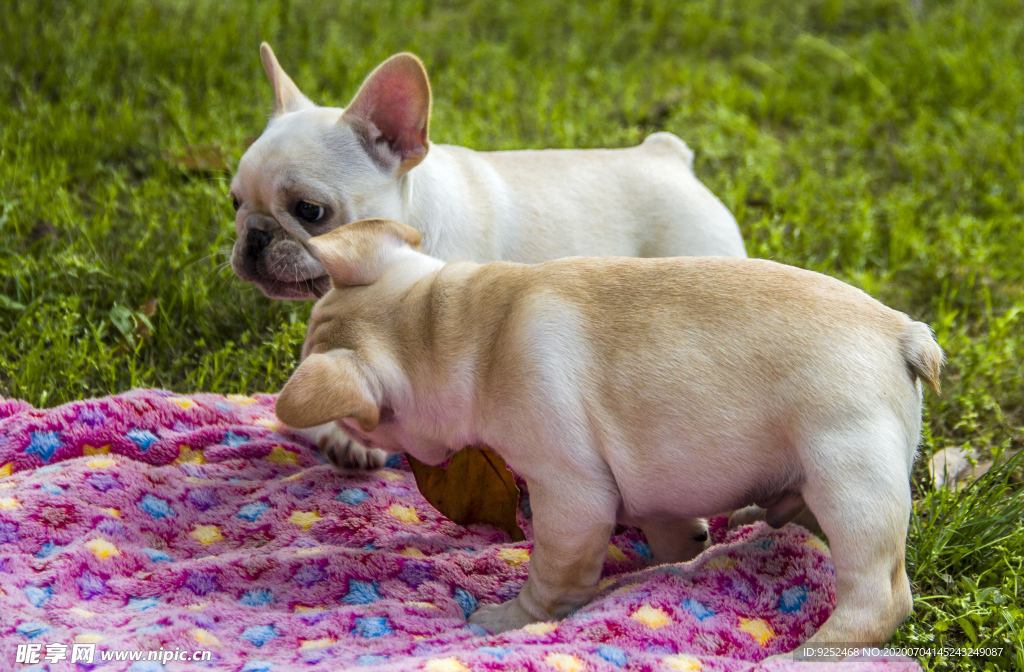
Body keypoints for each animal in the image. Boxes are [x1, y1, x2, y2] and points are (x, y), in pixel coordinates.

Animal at [274, 218, 942, 647]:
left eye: (361, 420)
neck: (463, 327)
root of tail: (900, 333)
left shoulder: (572, 495)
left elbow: (552, 573)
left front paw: (510, 621)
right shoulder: (655, 490)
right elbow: (673, 532)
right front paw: (672, 565)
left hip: (848, 480)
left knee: (877, 597)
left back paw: (809, 654)